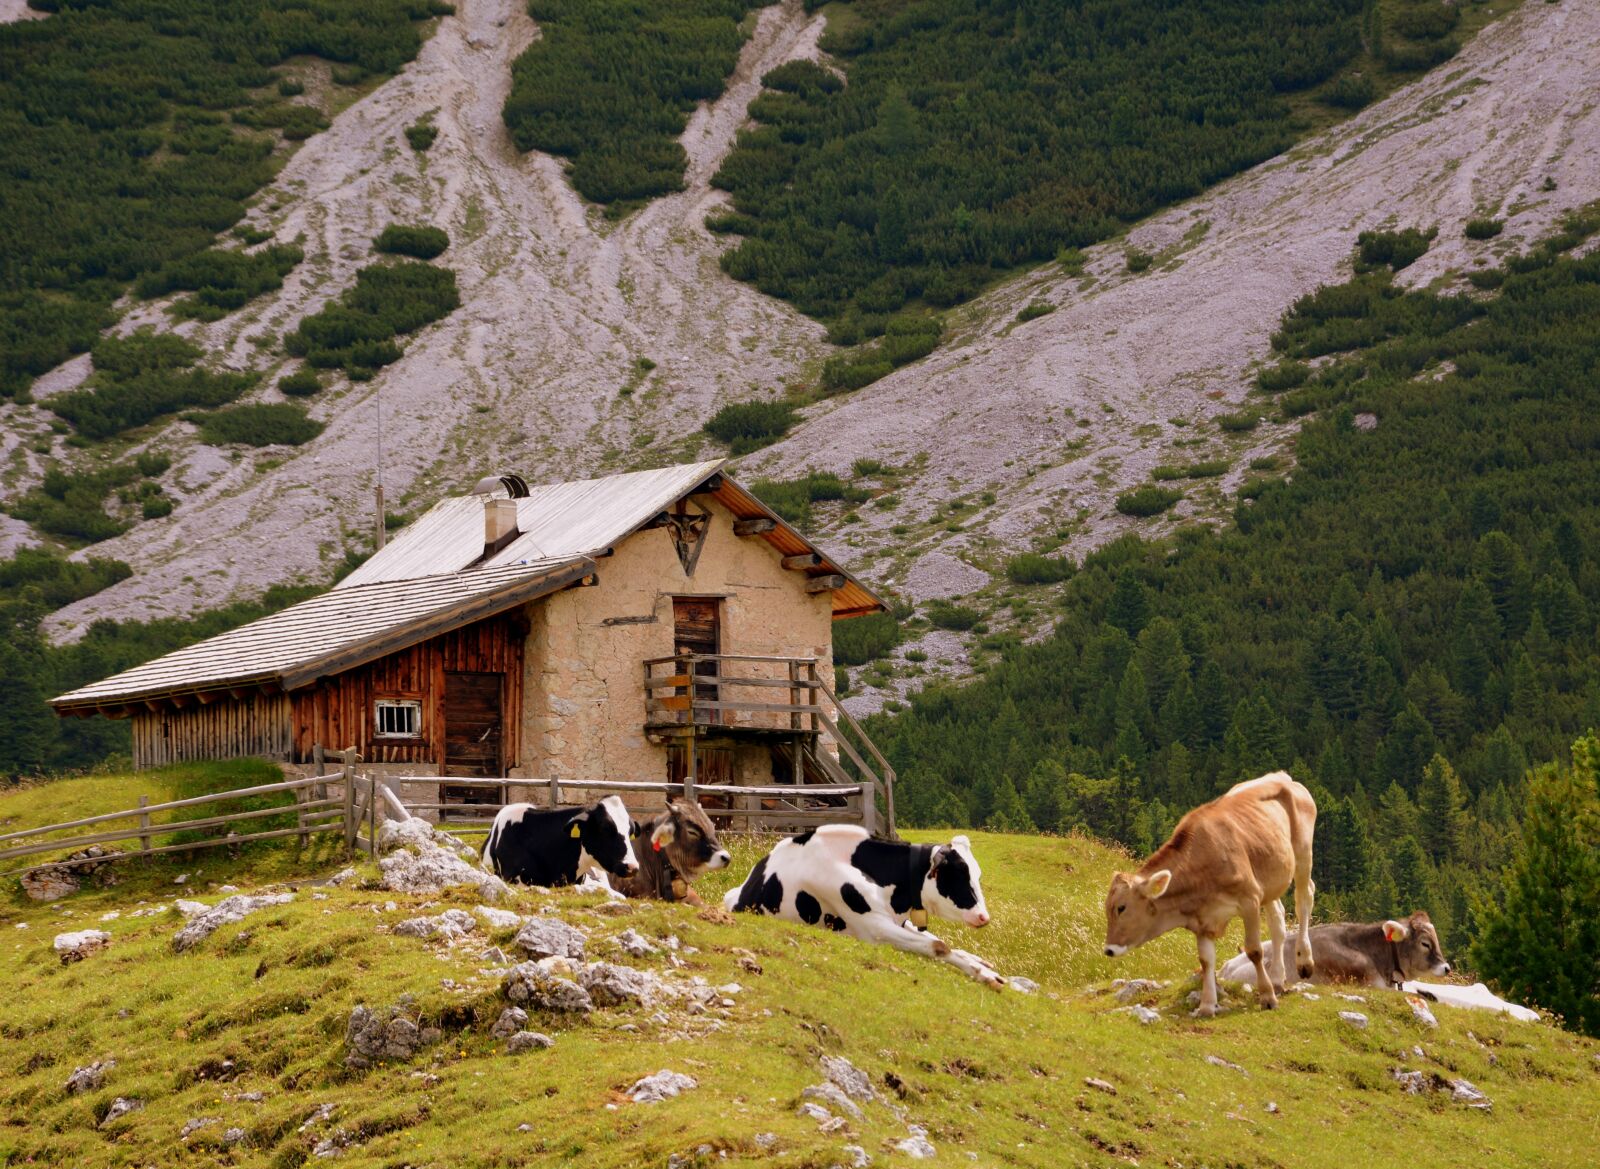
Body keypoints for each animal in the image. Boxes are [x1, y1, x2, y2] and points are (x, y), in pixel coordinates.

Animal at [723, 825, 1003, 987]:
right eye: (958, 875)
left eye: (977, 874)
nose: (983, 917)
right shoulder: (873, 928)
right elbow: (938, 945)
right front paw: (984, 976)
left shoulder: (896, 919)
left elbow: (938, 940)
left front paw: (983, 968)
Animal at [1103, 771, 1317, 1016]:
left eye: (1121, 907)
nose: (1108, 949)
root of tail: (1282, 776)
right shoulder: (1203, 919)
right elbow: (1206, 961)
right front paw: (1206, 1005)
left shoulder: (1249, 900)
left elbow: (1254, 951)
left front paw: (1267, 997)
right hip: (1271, 877)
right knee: (1277, 921)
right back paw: (1278, 980)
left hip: (1303, 854)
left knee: (1304, 900)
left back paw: (1304, 961)